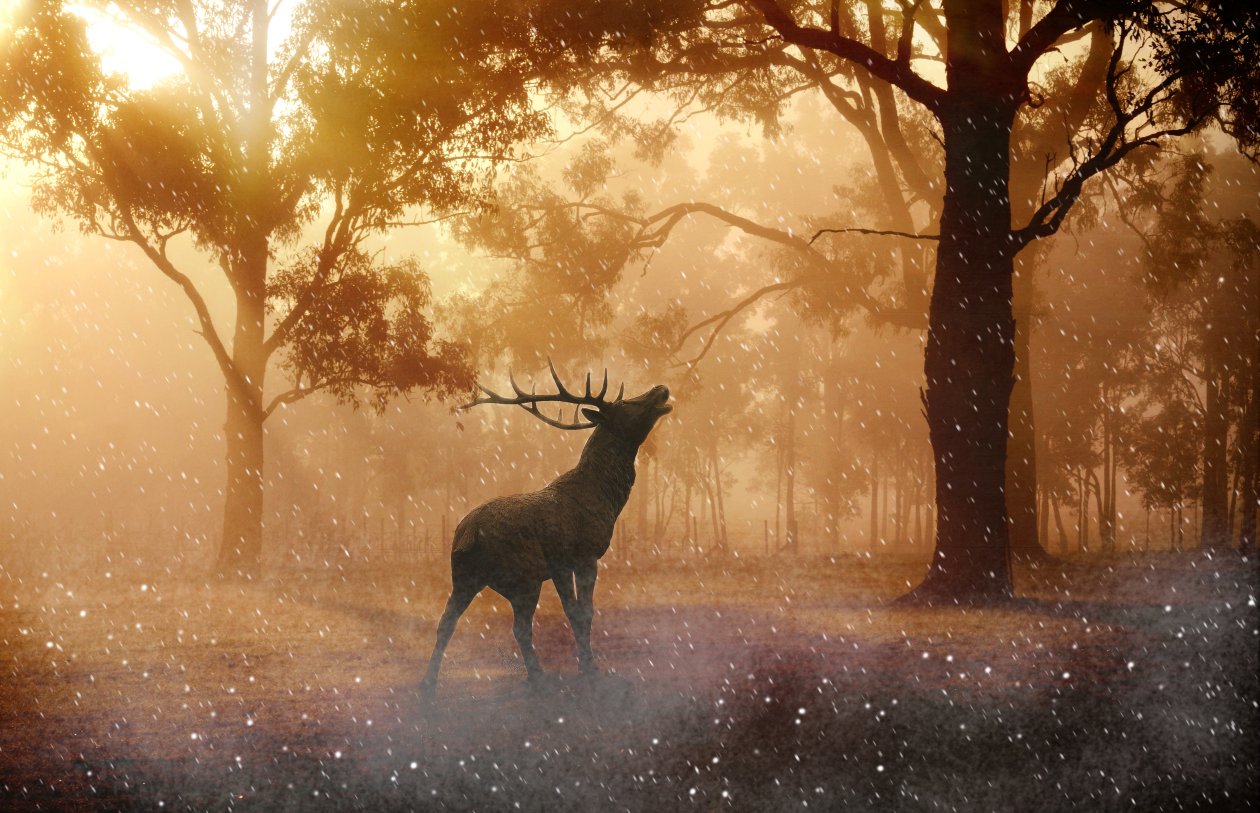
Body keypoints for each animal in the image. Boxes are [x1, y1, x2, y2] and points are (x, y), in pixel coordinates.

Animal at [419, 361, 671, 699]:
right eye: (624, 404)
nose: (661, 388)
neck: (605, 498)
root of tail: (466, 535)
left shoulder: (563, 565)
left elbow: (576, 612)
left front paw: (585, 666)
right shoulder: (579, 555)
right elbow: (582, 612)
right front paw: (590, 670)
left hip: (463, 576)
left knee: (447, 621)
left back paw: (429, 683)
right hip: (523, 576)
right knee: (520, 627)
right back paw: (538, 675)